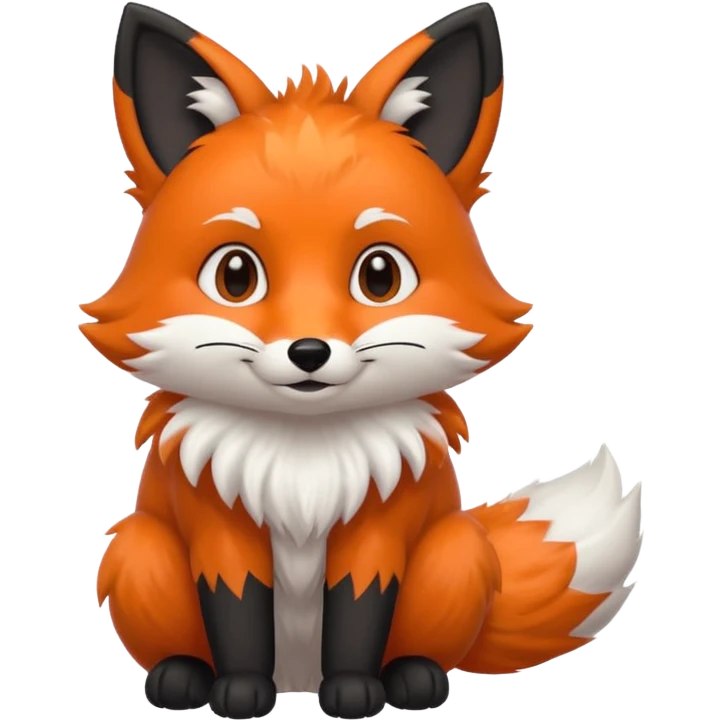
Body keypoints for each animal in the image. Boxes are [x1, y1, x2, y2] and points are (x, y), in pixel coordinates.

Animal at [83, 2, 645, 720]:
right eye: (236, 276)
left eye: (379, 276)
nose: (309, 351)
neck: (303, 459)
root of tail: (296, 677)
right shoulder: (219, 527)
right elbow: (237, 613)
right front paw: (239, 693)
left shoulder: (379, 529)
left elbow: (358, 612)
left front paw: (354, 693)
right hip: (137, 547)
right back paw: (182, 676)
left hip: (456, 551)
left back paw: (413, 677)